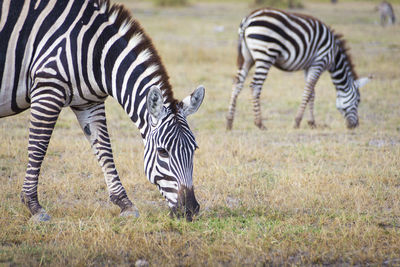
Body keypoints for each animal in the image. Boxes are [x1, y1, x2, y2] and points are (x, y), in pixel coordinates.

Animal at [0, 0, 205, 222]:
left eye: (194, 149)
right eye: (162, 152)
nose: (191, 210)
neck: (94, 51)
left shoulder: (89, 103)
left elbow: (104, 150)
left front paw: (125, 204)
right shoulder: (47, 88)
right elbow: (38, 147)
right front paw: (33, 206)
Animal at [227, 7, 370, 131]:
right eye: (358, 100)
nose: (355, 125)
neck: (334, 56)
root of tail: (249, 18)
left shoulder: (309, 66)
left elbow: (312, 93)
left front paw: (312, 123)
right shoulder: (319, 63)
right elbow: (307, 92)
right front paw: (297, 122)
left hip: (247, 58)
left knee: (237, 83)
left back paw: (229, 121)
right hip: (265, 55)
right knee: (255, 86)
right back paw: (259, 123)